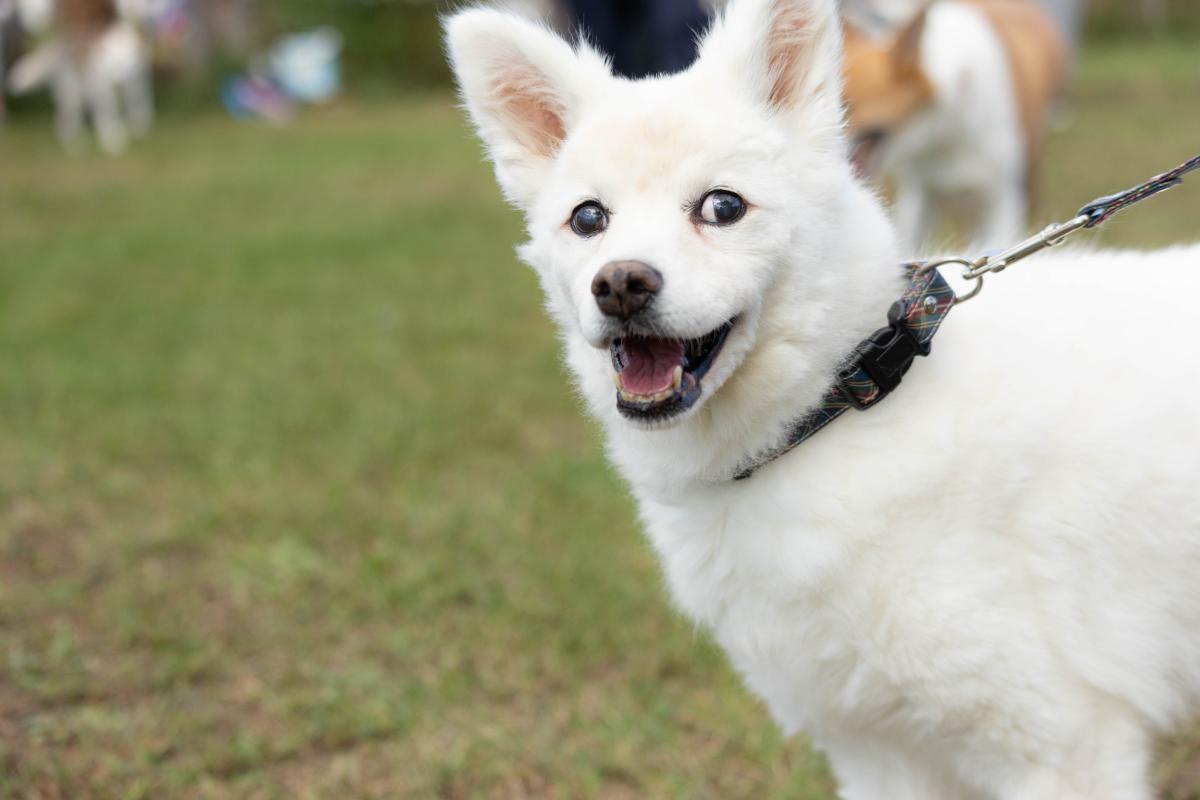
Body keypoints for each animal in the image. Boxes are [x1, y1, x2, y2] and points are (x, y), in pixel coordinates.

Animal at [7, 0, 154, 154]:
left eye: (129, 63)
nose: (118, 79)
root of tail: (61, 46)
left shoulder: (137, 82)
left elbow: (139, 105)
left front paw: (139, 127)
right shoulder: (104, 88)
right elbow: (110, 115)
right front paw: (113, 141)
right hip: (72, 95)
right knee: (65, 121)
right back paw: (75, 146)